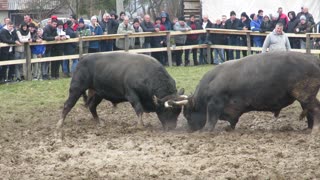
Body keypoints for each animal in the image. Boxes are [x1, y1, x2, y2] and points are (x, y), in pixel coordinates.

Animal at [55, 51, 185, 134]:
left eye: (178, 111)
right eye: (167, 110)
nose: (172, 127)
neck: (147, 74)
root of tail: (83, 58)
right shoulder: (132, 95)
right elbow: (139, 109)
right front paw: (140, 125)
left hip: (98, 93)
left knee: (92, 107)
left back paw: (99, 122)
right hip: (77, 88)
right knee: (68, 105)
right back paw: (60, 124)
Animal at [170, 51, 320, 133]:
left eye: (187, 114)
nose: (189, 129)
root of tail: (313, 59)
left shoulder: (214, 103)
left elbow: (211, 119)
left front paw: (205, 130)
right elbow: (232, 121)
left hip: (305, 96)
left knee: (315, 109)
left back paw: (315, 128)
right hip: (306, 97)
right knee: (310, 111)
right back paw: (309, 128)